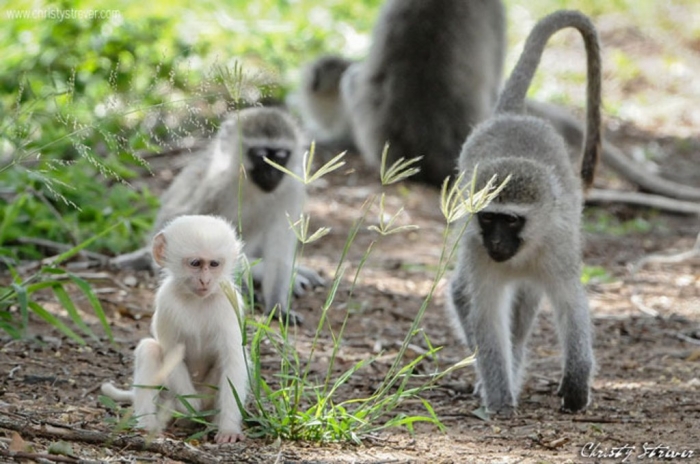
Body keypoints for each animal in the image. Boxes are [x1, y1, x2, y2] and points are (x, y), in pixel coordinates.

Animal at [101, 215, 248, 443]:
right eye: (196, 263)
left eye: (214, 264)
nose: (205, 280)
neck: (197, 299)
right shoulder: (167, 301)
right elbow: (172, 353)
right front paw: (190, 404)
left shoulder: (228, 300)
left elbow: (234, 359)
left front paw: (229, 429)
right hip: (167, 393)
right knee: (149, 350)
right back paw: (149, 424)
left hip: (208, 394)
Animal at [152, 107, 324, 325]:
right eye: (260, 157)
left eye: (280, 157)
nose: (272, 174)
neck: (251, 187)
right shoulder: (216, 188)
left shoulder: (292, 188)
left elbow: (279, 254)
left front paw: (278, 306)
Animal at [446, 10, 601, 416]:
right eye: (488, 218)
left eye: (511, 220)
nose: (497, 244)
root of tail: (511, 116)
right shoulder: (475, 247)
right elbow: (485, 315)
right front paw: (500, 399)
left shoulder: (557, 245)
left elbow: (569, 302)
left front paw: (576, 383)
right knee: (463, 293)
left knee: (529, 297)